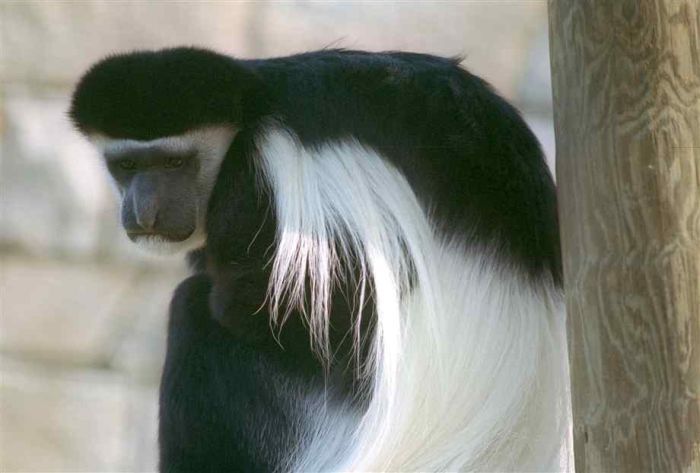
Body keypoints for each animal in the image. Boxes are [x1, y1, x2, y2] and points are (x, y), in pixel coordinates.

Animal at [69, 46, 568, 470]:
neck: (250, 111)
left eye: (175, 164)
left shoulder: (268, 175)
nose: (143, 211)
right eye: (127, 166)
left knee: (195, 313)